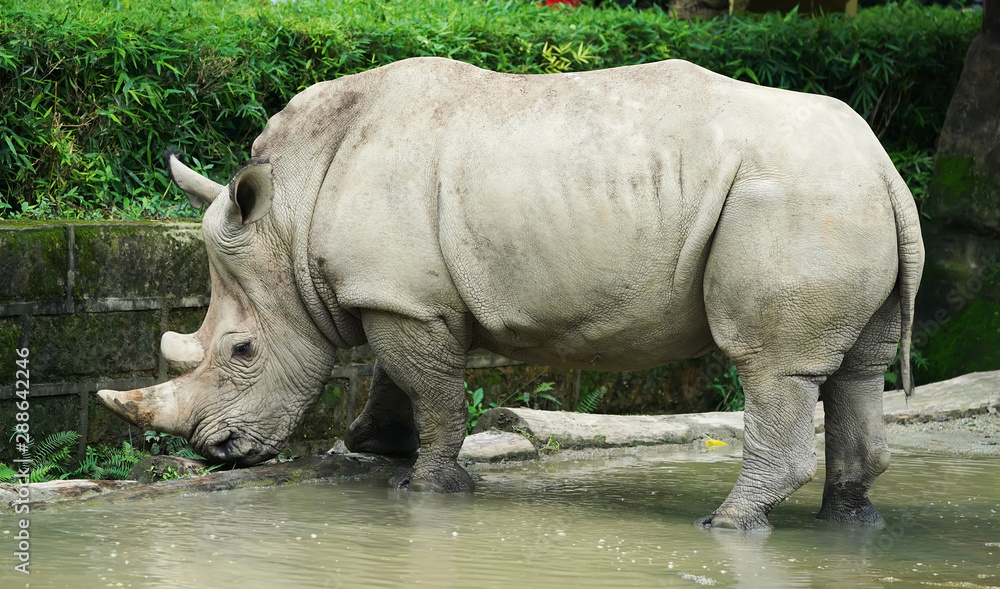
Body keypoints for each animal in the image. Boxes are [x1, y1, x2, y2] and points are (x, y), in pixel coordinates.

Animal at [98, 57, 923, 530]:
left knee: (772, 366)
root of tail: (886, 169)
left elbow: (431, 388)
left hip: (795, 200)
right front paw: (370, 446)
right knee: (858, 369)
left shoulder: (401, 297)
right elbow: (398, 376)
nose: (215, 451)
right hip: (841, 198)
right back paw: (851, 525)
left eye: (241, 350)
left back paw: (727, 525)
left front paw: (426, 486)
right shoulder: (399, 290)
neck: (290, 214)